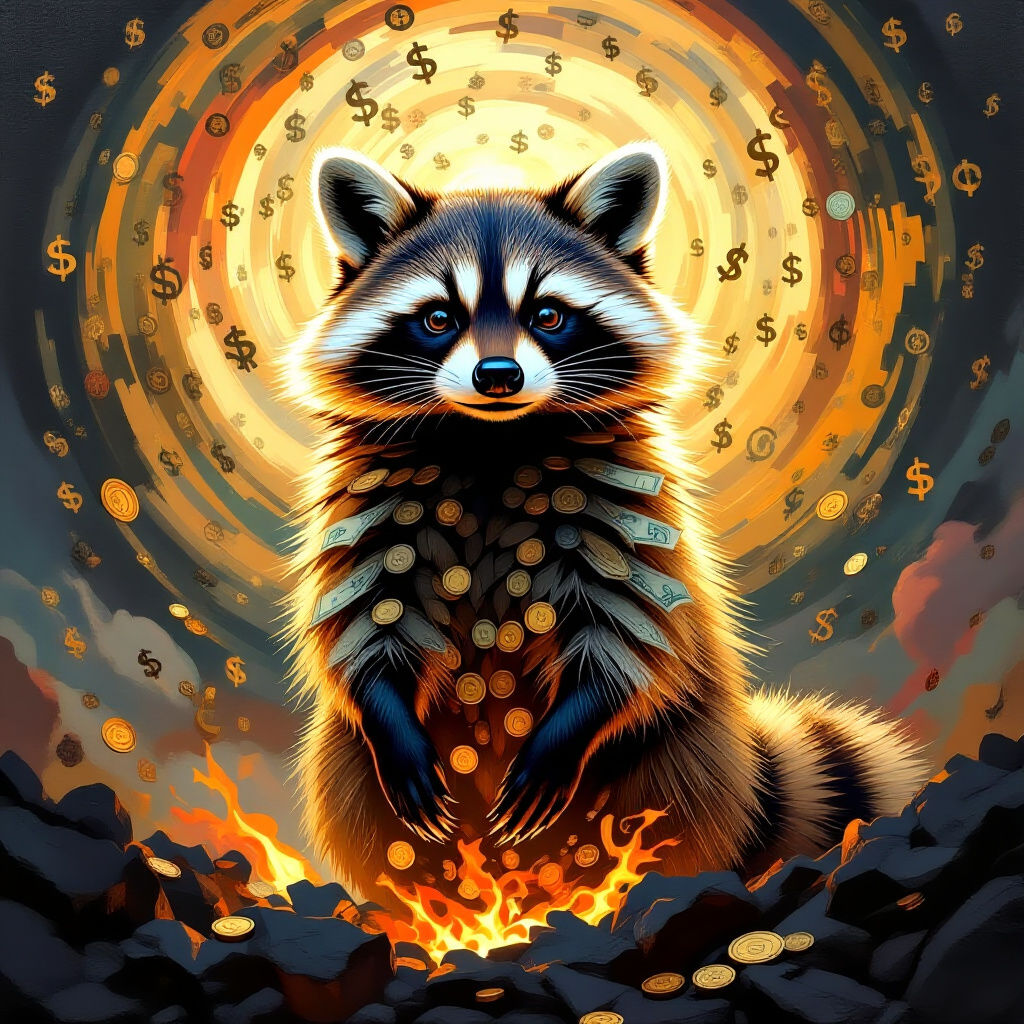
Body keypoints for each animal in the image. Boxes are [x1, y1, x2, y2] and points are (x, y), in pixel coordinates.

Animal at [283, 143, 928, 904]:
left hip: (677, 765)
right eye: (439, 318)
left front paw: (566, 732)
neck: (492, 441)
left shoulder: (622, 508)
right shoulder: (375, 506)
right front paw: (390, 719)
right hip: (348, 776)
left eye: (548, 314)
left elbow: (628, 637)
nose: (496, 376)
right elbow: (364, 629)